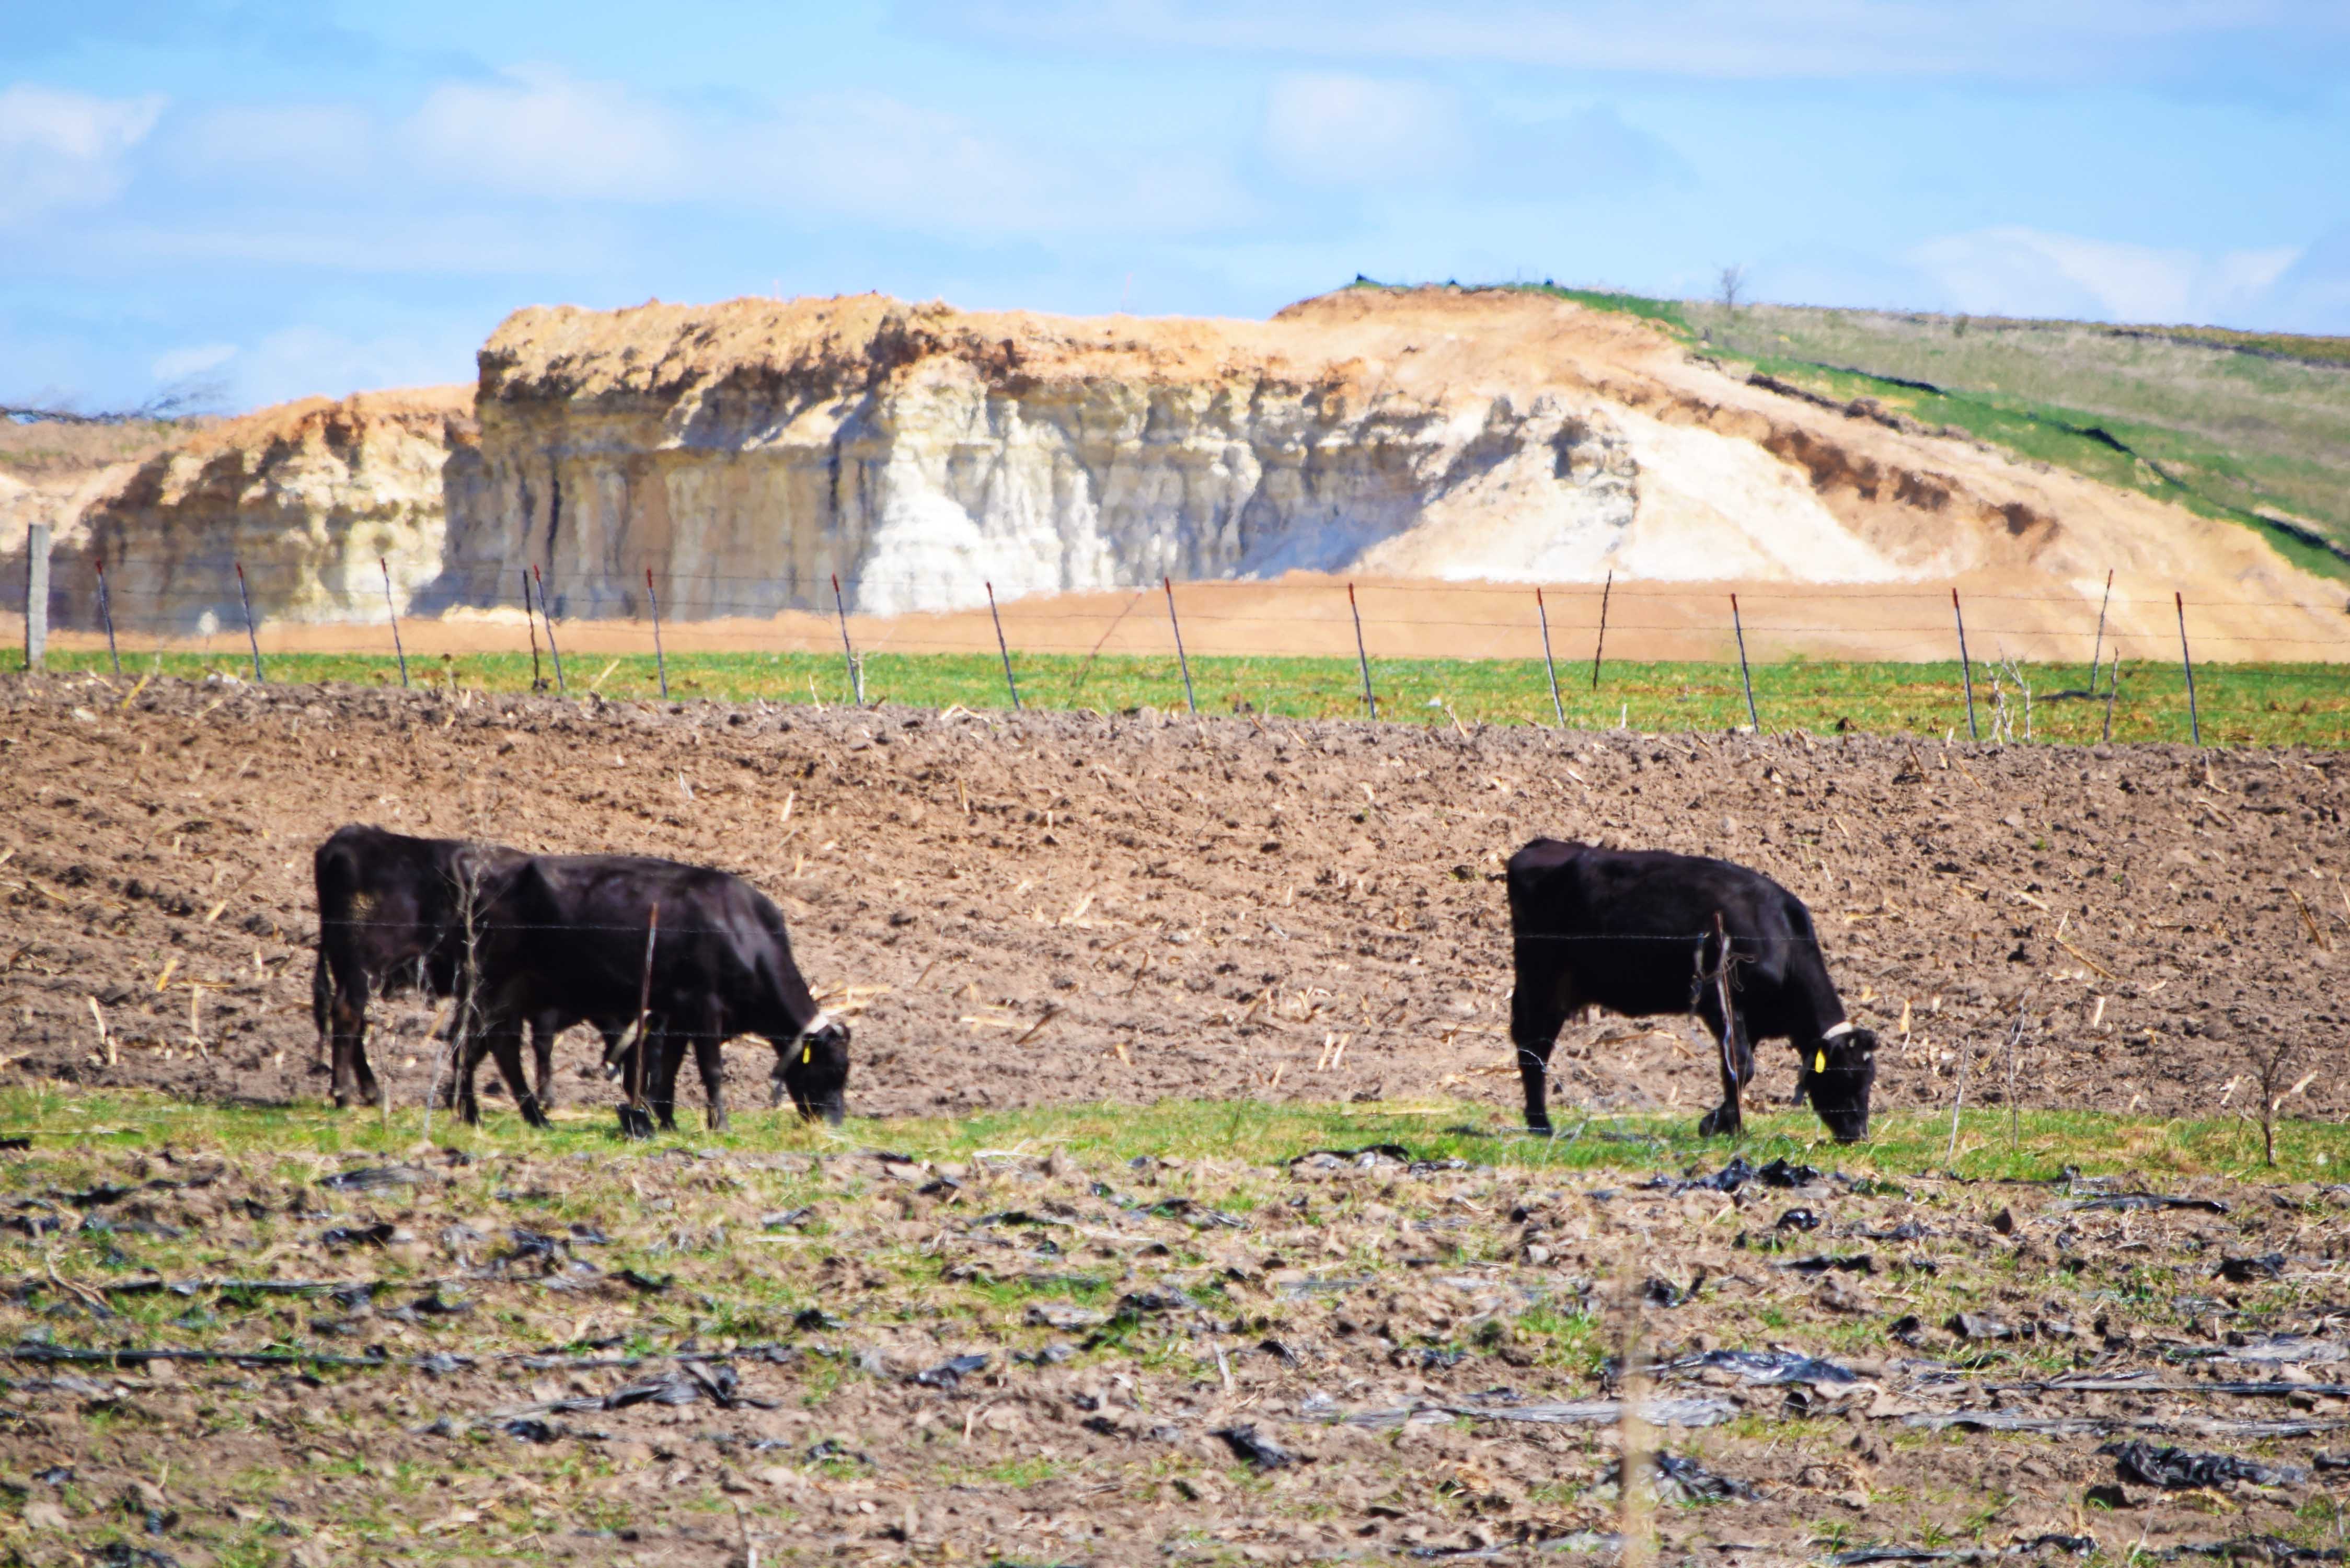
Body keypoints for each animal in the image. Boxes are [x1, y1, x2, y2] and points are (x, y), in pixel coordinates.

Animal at [312, 827, 578, 1109]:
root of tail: (349, 836)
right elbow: (536, 1043)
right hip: (364, 966)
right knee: (347, 1014)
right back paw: (343, 1093)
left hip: (347, 967)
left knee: (355, 1021)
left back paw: (371, 1091)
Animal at [453, 860, 850, 1128]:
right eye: (832, 1069)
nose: (834, 1124)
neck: (742, 932)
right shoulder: (704, 1005)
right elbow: (712, 1069)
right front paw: (719, 1124)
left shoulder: (677, 1013)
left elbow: (669, 1066)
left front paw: (668, 1121)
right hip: (496, 985)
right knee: (481, 1044)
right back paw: (485, 1114)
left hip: (515, 991)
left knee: (491, 1044)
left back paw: (513, 1116)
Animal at [1513, 841, 1880, 1147]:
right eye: (1846, 1075)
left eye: (1870, 1080)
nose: (1858, 1135)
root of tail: (1540, 846)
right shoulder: (1719, 1004)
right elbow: (1741, 1067)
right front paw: (1715, 1125)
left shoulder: (1753, 1019)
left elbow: (1738, 1069)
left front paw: (1732, 1126)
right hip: (1540, 977)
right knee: (1532, 1045)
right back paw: (1540, 1124)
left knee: (1538, 1044)